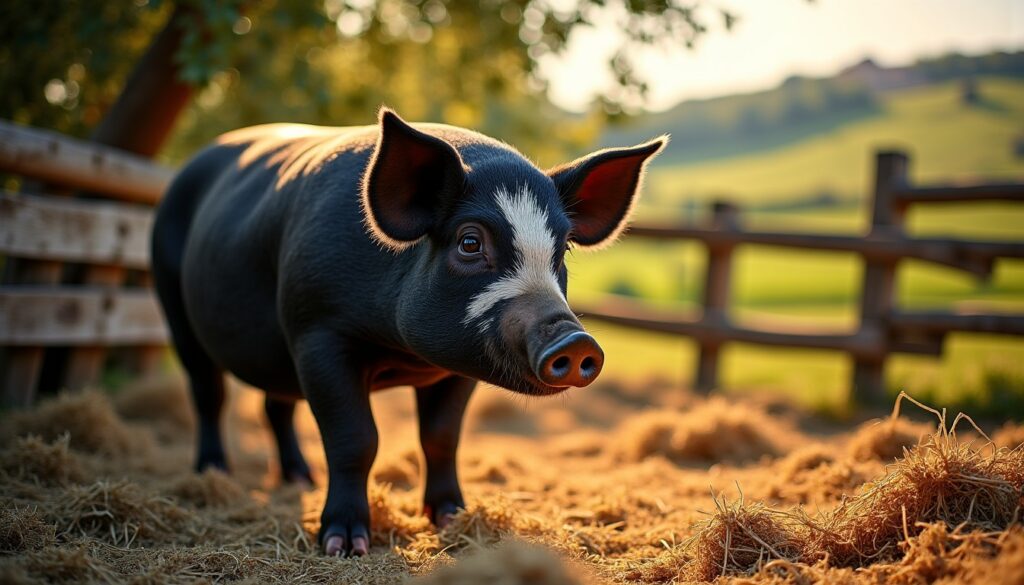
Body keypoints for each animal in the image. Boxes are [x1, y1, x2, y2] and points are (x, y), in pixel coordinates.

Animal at [151, 108, 665, 556]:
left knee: (275, 405)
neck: (402, 354)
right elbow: (356, 438)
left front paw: (453, 517)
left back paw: (300, 479)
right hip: (174, 305)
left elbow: (441, 437)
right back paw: (213, 473)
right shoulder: (318, 332)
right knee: (209, 394)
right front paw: (344, 545)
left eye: (561, 253)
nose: (576, 342)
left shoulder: (458, 367)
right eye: (470, 242)